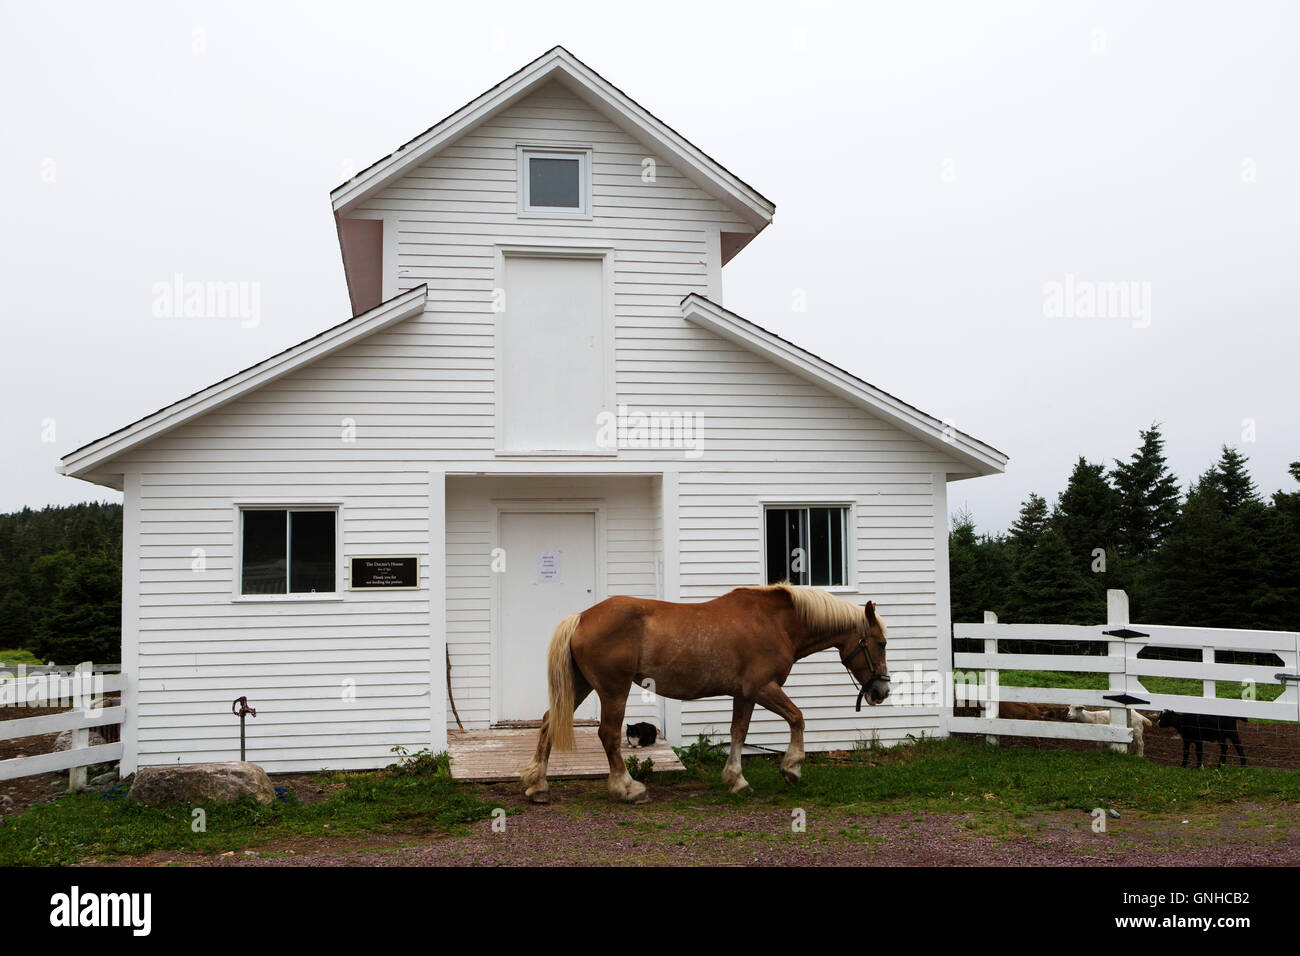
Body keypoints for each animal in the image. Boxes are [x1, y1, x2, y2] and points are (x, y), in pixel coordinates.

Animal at [520, 587, 894, 806]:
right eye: (881, 643)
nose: (882, 690)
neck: (775, 622)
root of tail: (582, 617)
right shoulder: (764, 687)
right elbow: (797, 718)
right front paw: (792, 768)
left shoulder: (745, 694)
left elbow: (738, 732)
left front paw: (736, 780)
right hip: (613, 689)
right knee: (609, 735)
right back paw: (629, 788)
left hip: (581, 684)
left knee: (548, 724)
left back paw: (538, 786)